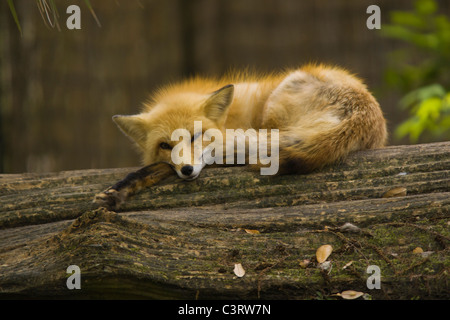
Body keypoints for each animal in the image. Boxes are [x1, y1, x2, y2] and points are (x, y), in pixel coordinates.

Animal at [94, 64, 386, 209]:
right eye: (165, 145)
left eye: (196, 135)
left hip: (275, 109)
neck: (228, 119)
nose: (187, 170)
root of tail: (362, 114)